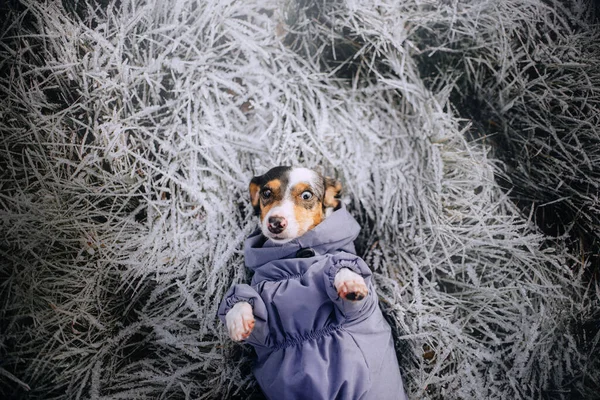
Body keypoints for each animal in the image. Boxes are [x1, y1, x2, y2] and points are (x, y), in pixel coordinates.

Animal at [219, 166, 408, 400]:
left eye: (307, 195)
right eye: (266, 193)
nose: (275, 222)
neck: (294, 259)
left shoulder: (354, 307)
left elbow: (342, 267)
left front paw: (350, 282)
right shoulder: (264, 334)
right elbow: (242, 298)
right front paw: (238, 321)